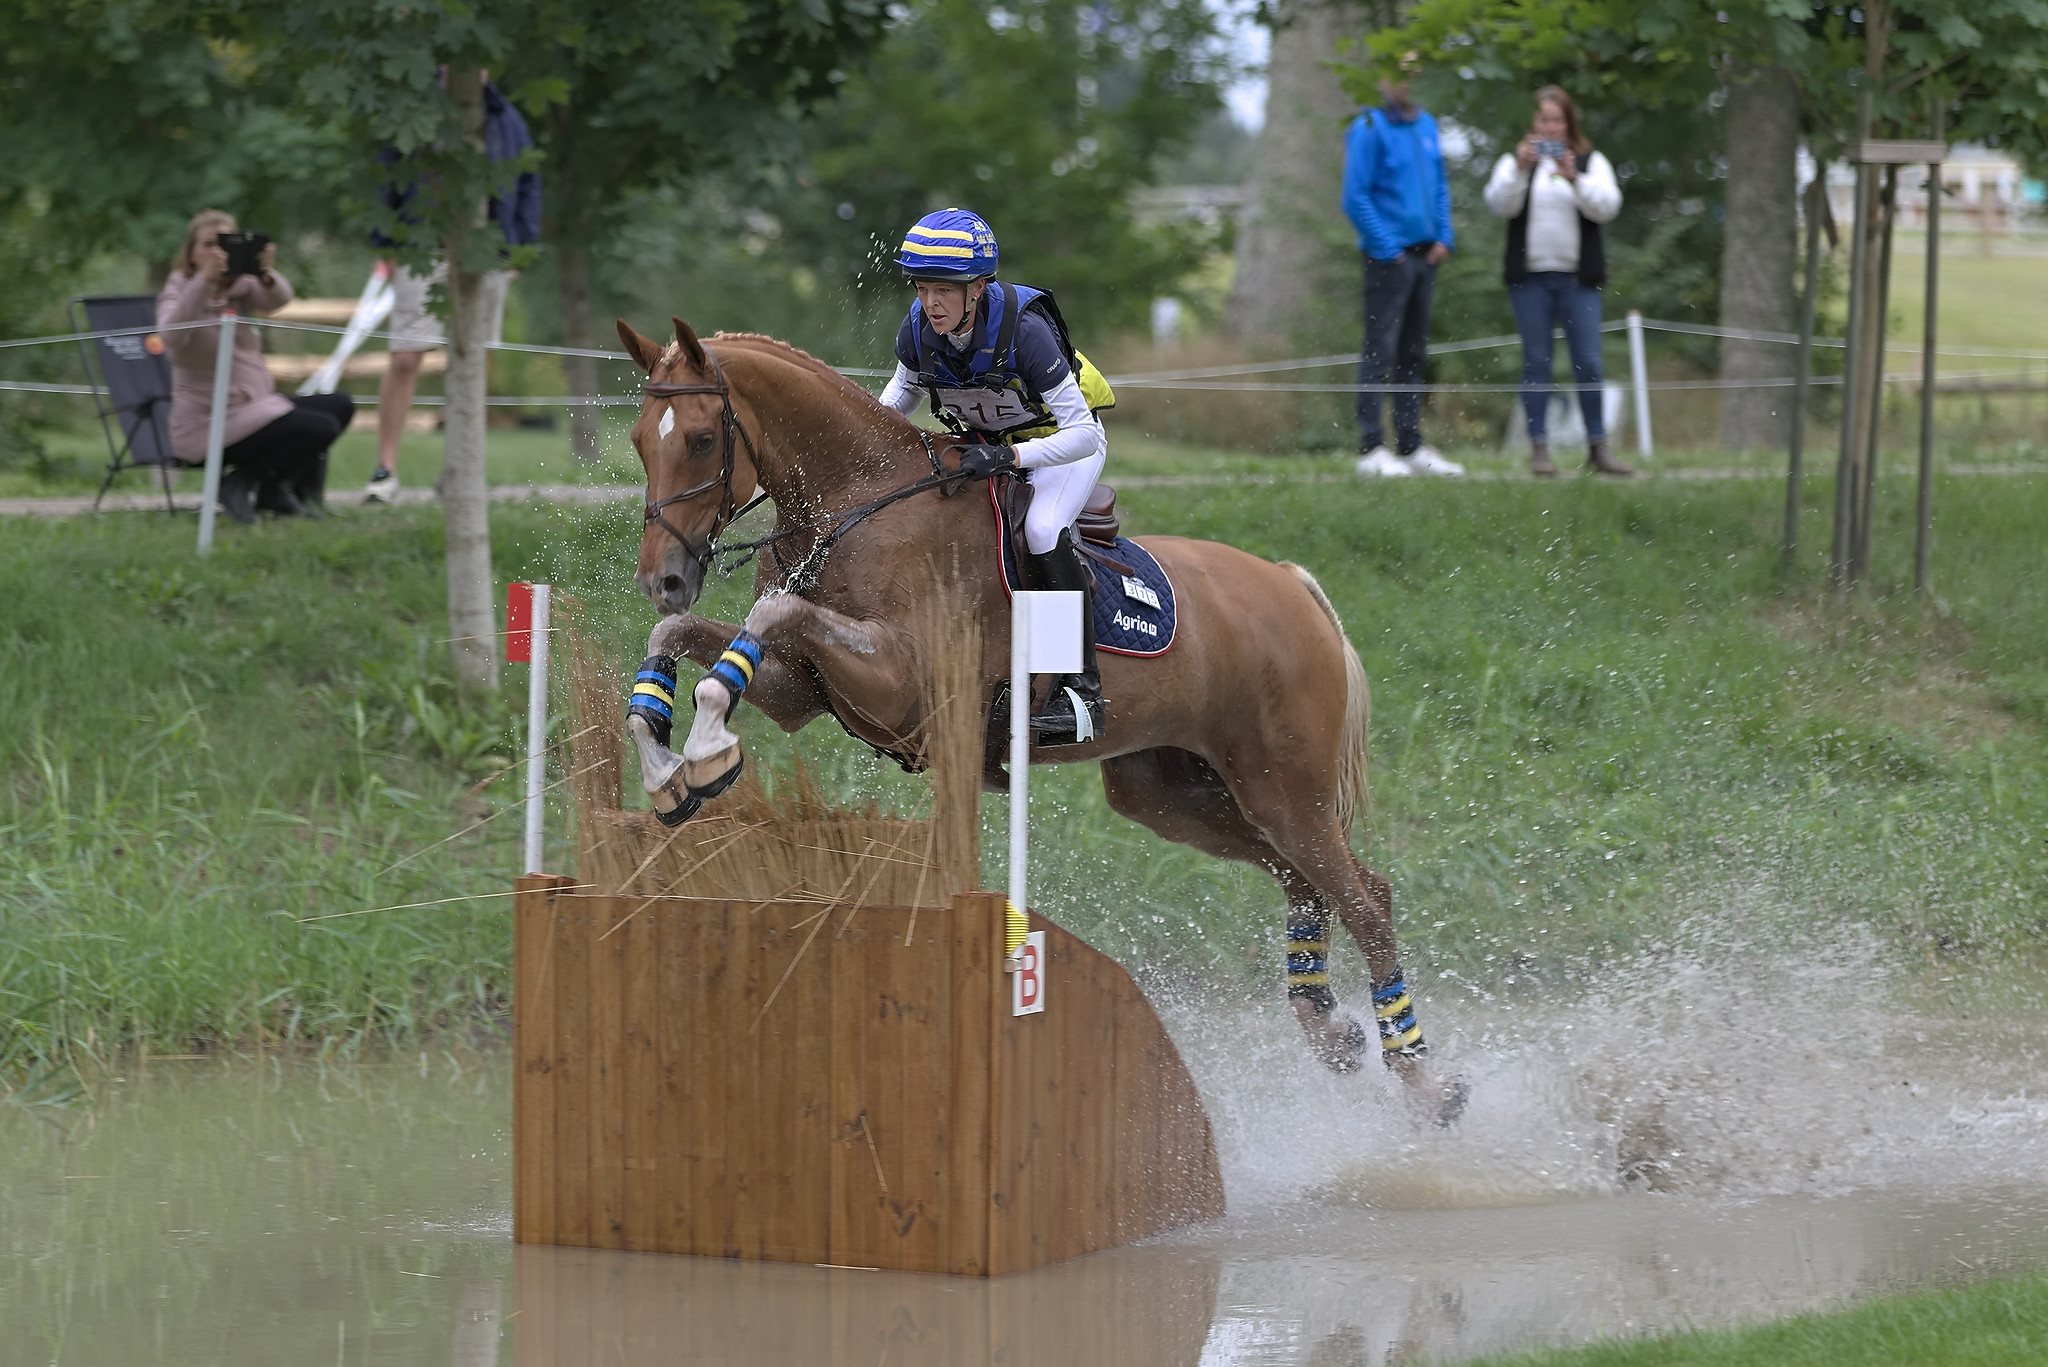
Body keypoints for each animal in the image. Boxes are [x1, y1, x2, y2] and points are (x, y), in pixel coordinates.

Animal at [622, 313, 1441, 1090]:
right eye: (638, 441)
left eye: (701, 438)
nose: (664, 578)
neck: (855, 506)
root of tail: (1290, 585)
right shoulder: (802, 689)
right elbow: (693, 641)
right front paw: (670, 765)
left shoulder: (905, 683)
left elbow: (770, 616)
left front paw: (704, 750)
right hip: (1174, 794)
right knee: (1307, 881)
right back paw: (1330, 1032)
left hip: (1284, 788)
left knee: (1366, 898)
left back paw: (1422, 1075)